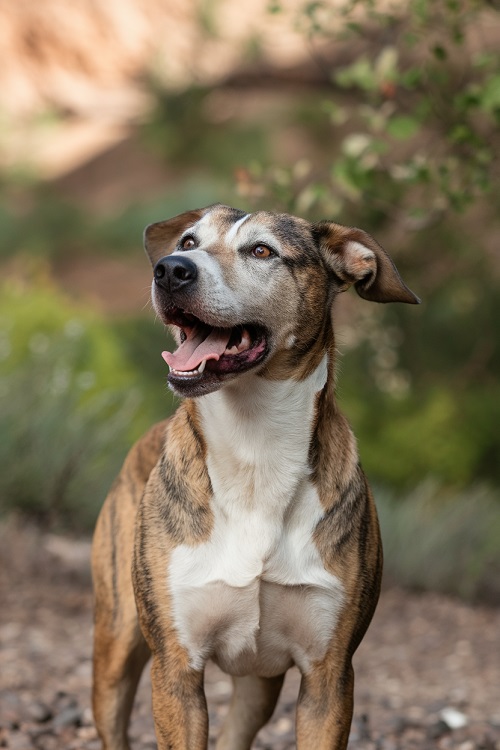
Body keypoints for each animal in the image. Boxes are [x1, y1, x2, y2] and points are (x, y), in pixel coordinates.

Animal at [92, 203, 420, 748]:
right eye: (187, 241)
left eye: (262, 251)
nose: (171, 270)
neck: (253, 450)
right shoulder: (176, 669)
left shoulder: (329, 676)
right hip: (115, 645)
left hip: (258, 683)